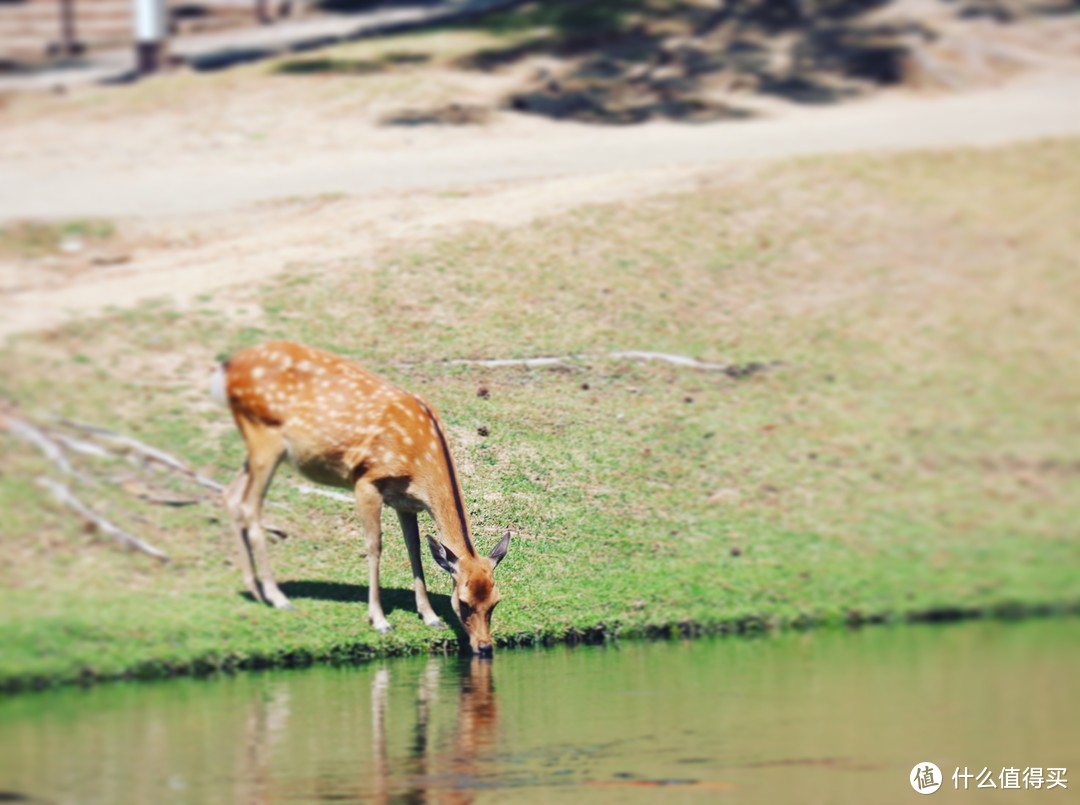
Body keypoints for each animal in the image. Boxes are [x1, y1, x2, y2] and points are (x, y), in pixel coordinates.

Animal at [214, 339, 514, 652]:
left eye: (496, 601)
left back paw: (253, 589)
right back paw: (277, 597)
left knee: (231, 495)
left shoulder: (405, 502)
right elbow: (374, 546)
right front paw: (380, 620)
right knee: (251, 507)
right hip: (265, 437)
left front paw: (430, 617)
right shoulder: (366, 480)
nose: (484, 646)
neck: (420, 464)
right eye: (464, 603)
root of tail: (227, 366)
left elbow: (415, 549)